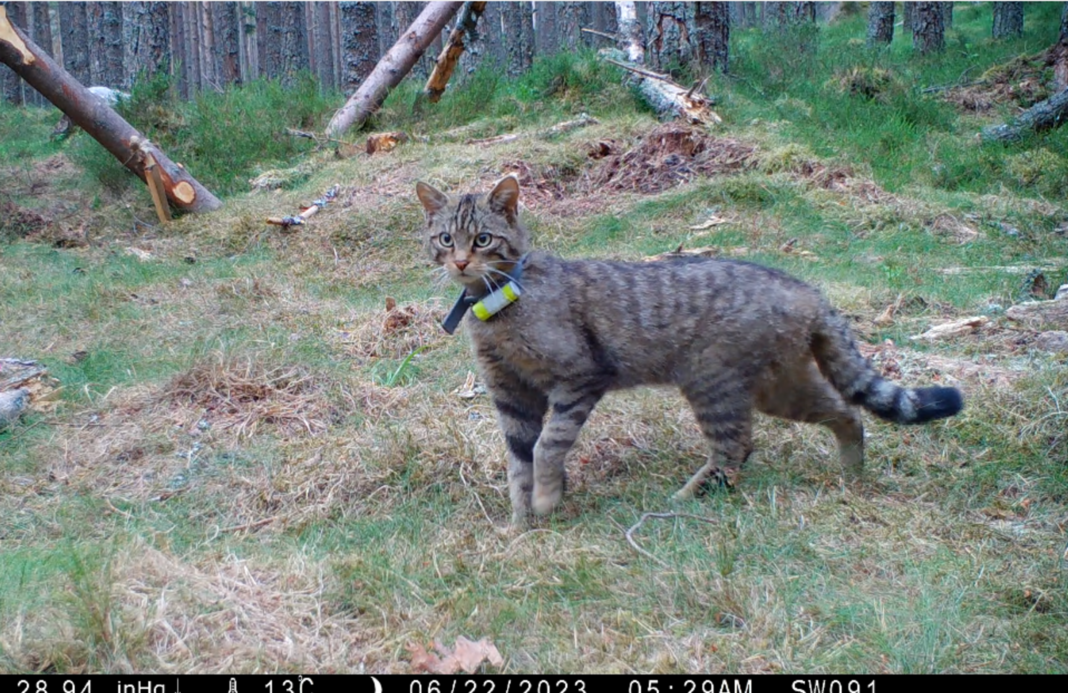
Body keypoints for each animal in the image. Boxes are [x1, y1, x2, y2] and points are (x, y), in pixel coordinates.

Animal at [414, 174, 961, 525]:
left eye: (483, 239)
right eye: (444, 239)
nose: (459, 263)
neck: (498, 307)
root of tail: (807, 290)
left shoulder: (579, 378)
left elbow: (548, 446)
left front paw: (546, 501)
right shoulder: (511, 394)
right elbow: (517, 463)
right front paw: (521, 522)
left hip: (713, 383)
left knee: (737, 446)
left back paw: (685, 496)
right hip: (778, 386)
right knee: (845, 413)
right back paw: (851, 474)